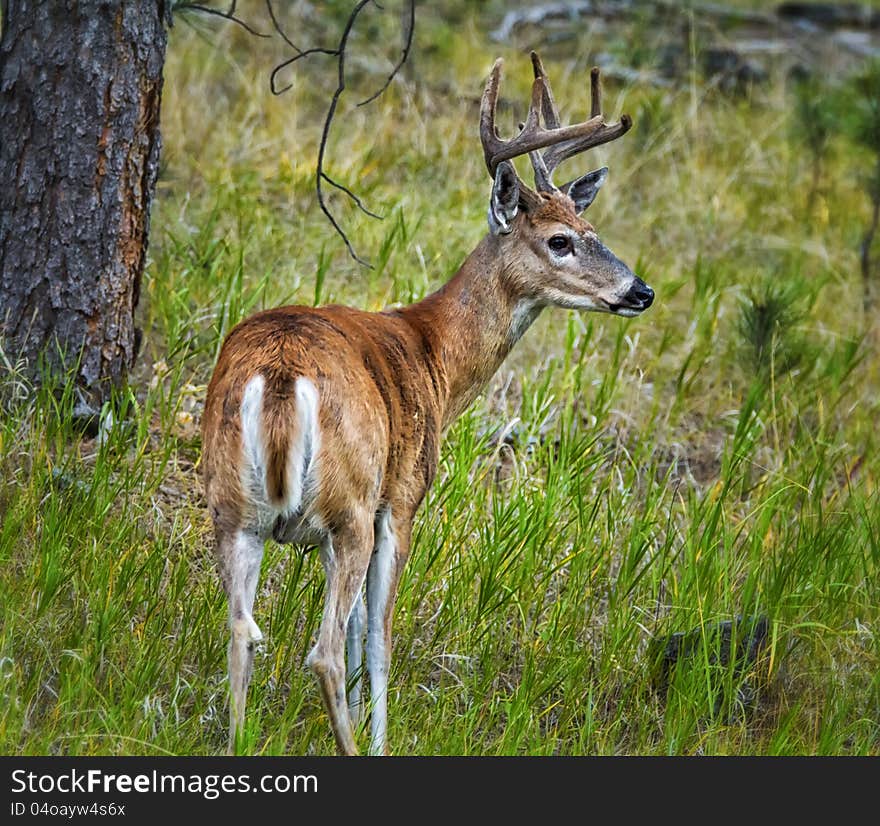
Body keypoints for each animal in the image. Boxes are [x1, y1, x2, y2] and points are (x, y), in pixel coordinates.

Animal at [201, 51, 652, 752]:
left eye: (591, 227)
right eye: (559, 240)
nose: (641, 291)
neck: (433, 355)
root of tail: (278, 373)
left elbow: (359, 631)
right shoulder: (402, 499)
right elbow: (376, 641)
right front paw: (380, 736)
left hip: (231, 505)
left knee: (241, 634)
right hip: (349, 503)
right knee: (323, 652)